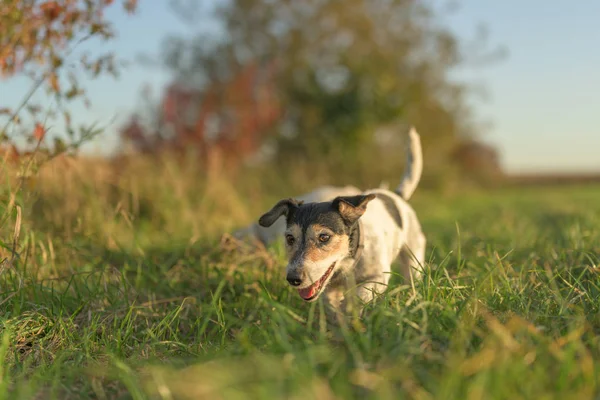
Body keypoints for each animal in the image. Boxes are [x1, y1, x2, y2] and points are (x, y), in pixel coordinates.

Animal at [258, 126, 426, 314]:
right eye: (289, 238)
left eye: (324, 237)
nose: (293, 278)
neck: (347, 263)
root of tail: (396, 195)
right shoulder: (329, 288)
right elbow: (330, 304)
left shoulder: (378, 276)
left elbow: (361, 294)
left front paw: (350, 308)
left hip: (413, 257)